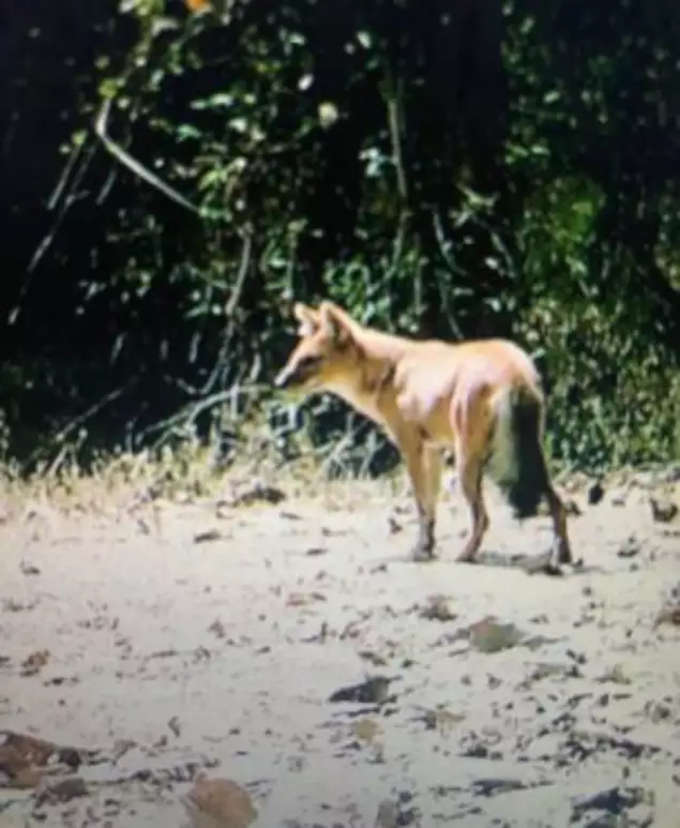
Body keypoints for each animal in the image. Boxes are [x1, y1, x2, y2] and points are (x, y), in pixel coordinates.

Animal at [274, 300, 572, 568]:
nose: (278, 382)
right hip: (529, 459)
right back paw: (562, 556)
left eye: (310, 360)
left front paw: (420, 550)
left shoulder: (411, 447)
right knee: (558, 504)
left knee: (483, 517)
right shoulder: (433, 449)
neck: (389, 373)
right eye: (295, 358)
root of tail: (517, 373)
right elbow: (431, 507)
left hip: (467, 465)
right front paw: (427, 547)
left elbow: (421, 505)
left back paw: (466, 555)